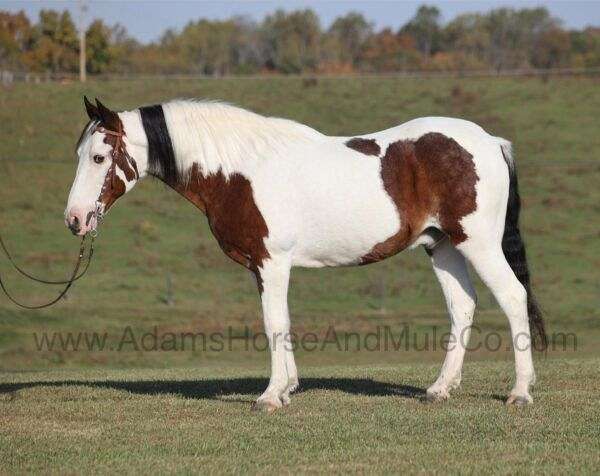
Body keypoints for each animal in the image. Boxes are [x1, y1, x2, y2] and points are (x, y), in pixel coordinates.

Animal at [67, 97, 548, 412]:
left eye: (98, 157)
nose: (75, 219)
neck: (240, 170)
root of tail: (489, 141)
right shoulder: (264, 267)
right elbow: (282, 321)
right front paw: (288, 387)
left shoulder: (271, 262)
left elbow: (273, 322)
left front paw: (269, 396)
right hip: (442, 245)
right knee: (462, 306)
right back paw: (440, 388)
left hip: (478, 242)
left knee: (512, 297)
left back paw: (520, 392)